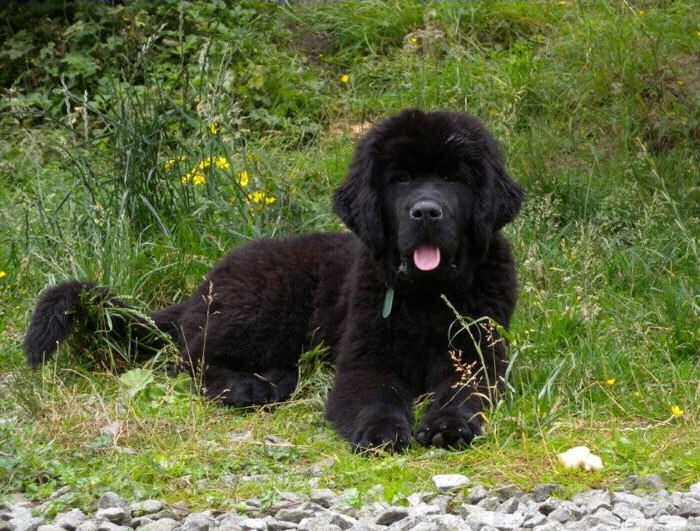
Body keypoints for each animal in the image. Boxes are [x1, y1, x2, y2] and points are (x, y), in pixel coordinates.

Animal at [24, 108, 524, 454]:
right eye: (400, 179)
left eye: (453, 178)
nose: (425, 212)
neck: (427, 295)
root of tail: (199, 290)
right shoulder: (366, 359)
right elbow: (375, 396)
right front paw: (381, 431)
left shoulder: (478, 353)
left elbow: (466, 390)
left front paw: (448, 424)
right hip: (264, 310)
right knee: (188, 360)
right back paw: (249, 387)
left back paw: (274, 382)